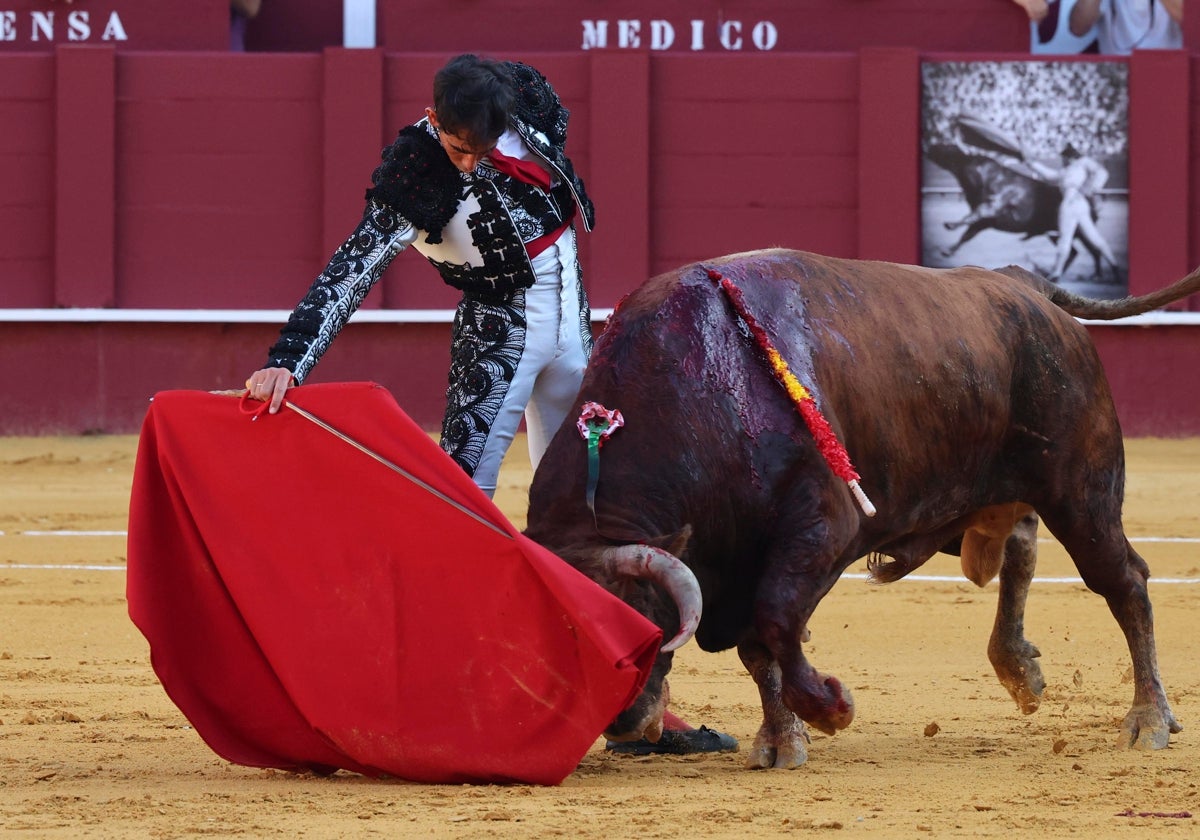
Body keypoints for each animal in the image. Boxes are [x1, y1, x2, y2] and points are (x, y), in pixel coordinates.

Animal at [525, 247, 1190, 768]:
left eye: (641, 624)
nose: (622, 724)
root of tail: (1021, 284)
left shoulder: (821, 528)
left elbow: (775, 621)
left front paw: (830, 710)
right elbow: (757, 648)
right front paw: (780, 740)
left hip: (1083, 491)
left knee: (1124, 582)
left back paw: (1149, 720)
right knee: (1020, 544)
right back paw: (1019, 670)